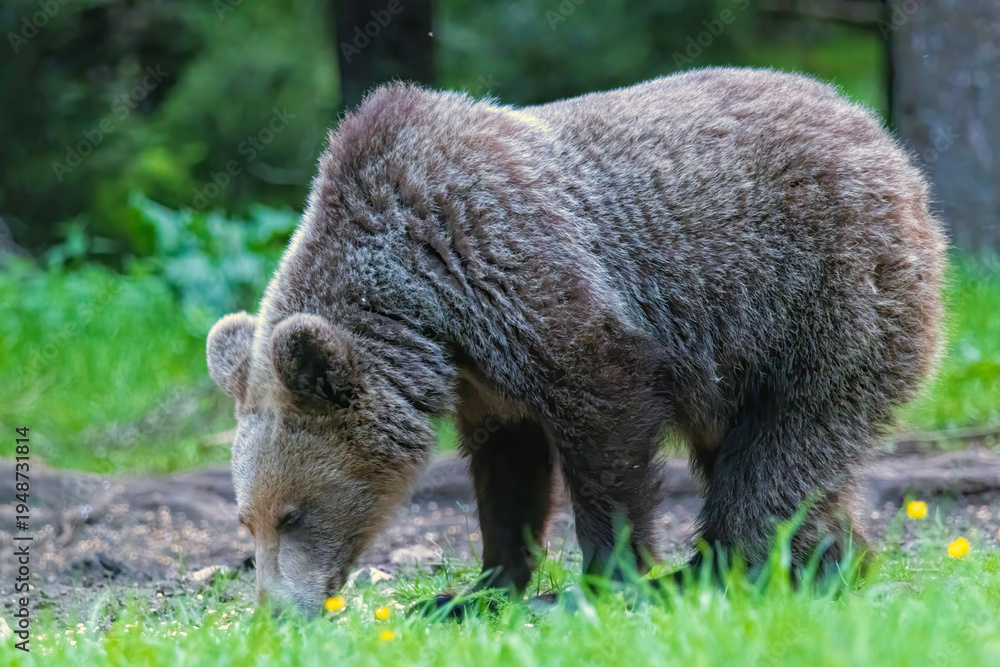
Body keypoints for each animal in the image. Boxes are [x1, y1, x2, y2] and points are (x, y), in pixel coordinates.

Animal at [206, 67, 946, 615]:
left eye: (293, 515)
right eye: (247, 520)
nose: (276, 613)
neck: (425, 303)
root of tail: (885, 142)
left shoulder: (535, 284)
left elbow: (606, 428)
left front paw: (602, 581)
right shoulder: (484, 375)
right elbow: (508, 470)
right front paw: (470, 592)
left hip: (818, 299)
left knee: (780, 452)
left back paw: (723, 571)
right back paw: (834, 561)